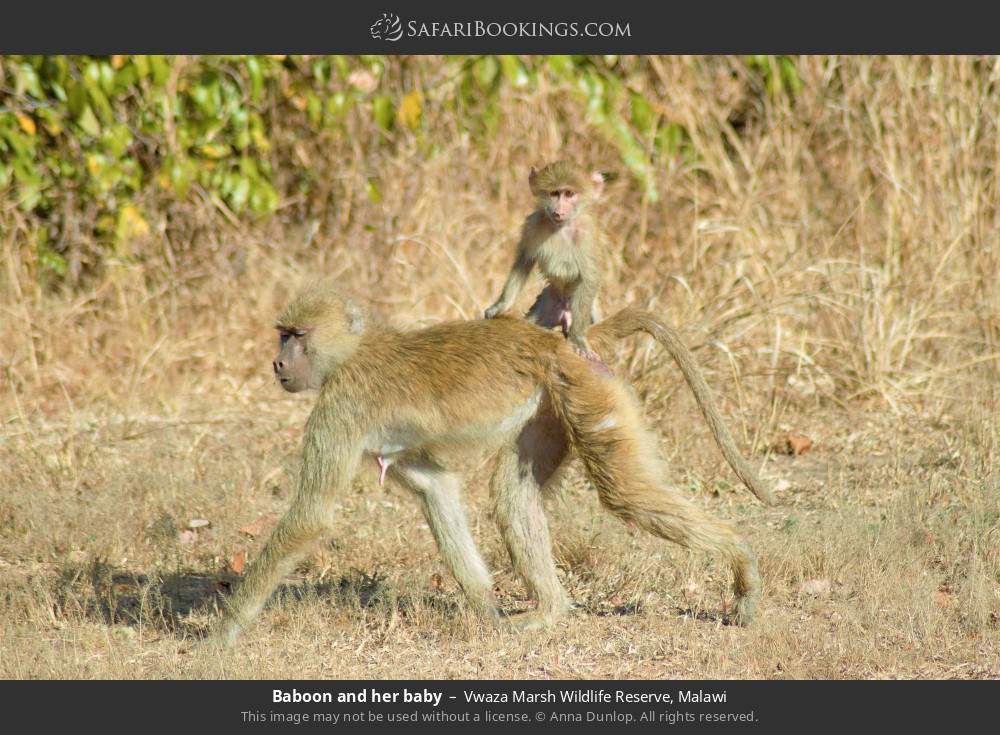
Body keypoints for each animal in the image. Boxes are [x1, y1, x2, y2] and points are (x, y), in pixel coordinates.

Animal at [204, 283, 766, 647]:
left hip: (585, 389)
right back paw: (549, 614)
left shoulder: (342, 406)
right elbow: (436, 491)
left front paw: (219, 637)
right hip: (551, 403)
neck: (353, 352)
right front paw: (488, 613)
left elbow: (311, 517)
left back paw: (742, 559)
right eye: (282, 334)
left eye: (297, 334)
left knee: (622, 491)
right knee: (515, 493)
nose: (277, 363)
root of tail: (559, 341)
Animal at [484, 161, 607, 362]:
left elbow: (590, 278)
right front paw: (501, 305)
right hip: (550, 301)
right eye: (554, 193)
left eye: (569, 194)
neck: (561, 227)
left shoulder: (586, 234)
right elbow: (524, 260)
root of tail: (564, 309)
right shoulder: (533, 224)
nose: (559, 211)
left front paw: (578, 340)